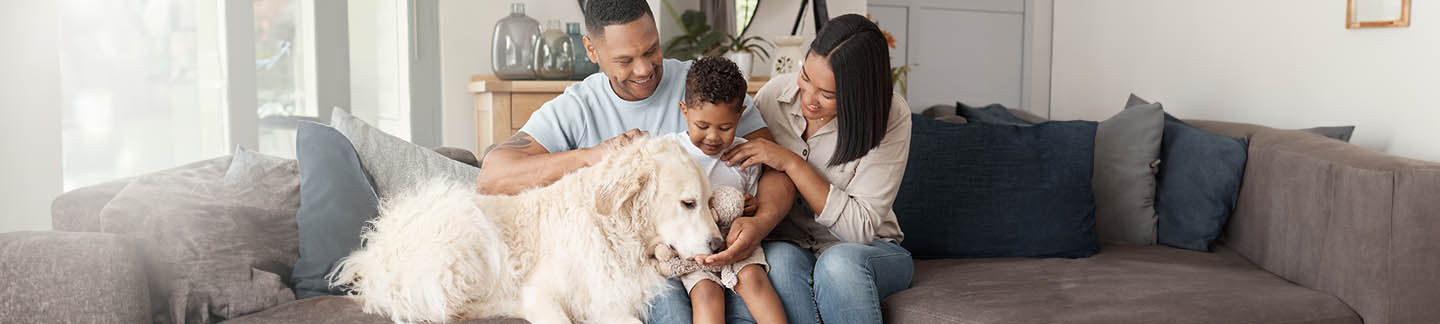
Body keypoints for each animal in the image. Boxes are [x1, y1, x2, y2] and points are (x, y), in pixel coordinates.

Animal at [329, 138, 725, 322]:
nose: (719, 244)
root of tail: (374, 250)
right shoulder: (544, 293)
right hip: (464, 225)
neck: (612, 229)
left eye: (710, 201)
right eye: (688, 203)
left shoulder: (608, 301)